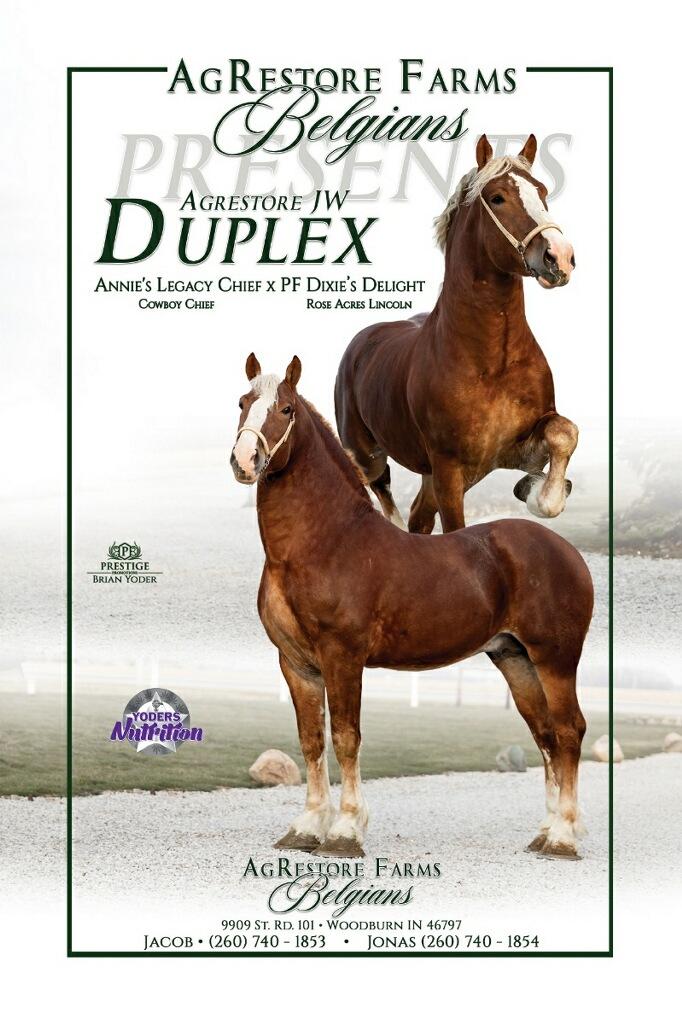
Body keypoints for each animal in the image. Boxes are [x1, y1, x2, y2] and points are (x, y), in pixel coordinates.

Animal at [230, 354, 593, 861]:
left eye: (286, 409)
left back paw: (562, 838)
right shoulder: (296, 664)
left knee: (568, 732)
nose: (246, 461)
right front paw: (305, 828)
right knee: (545, 736)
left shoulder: (343, 657)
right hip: (514, 658)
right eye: (242, 402)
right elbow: (311, 741)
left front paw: (345, 832)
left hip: (556, 659)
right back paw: (544, 833)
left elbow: (346, 738)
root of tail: (570, 554)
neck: (324, 541)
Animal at [335, 133, 579, 534]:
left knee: (418, 516)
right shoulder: (449, 470)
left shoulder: (512, 450)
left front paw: (537, 493)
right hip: (369, 456)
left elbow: (564, 432)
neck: (492, 363)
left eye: (542, 192)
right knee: (384, 494)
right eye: (497, 197)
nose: (559, 257)